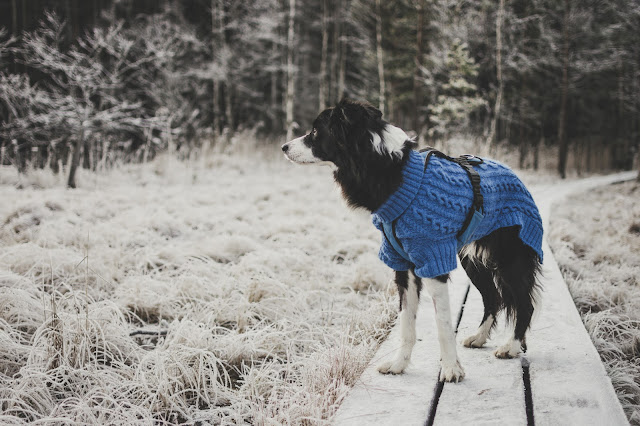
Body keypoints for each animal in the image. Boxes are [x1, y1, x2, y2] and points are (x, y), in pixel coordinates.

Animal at [282, 100, 544, 382]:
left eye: (315, 131)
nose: (284, 147)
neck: (391, 174)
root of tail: (515, 175)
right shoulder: (402, 265)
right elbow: (406, 324)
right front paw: (399, 365)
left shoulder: (433, 261)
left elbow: (443, 325)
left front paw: (451, 369)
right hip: (472, 261)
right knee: (493, 297)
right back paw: (479, 336)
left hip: (511, 259)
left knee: (524, 303)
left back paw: (512, 346)